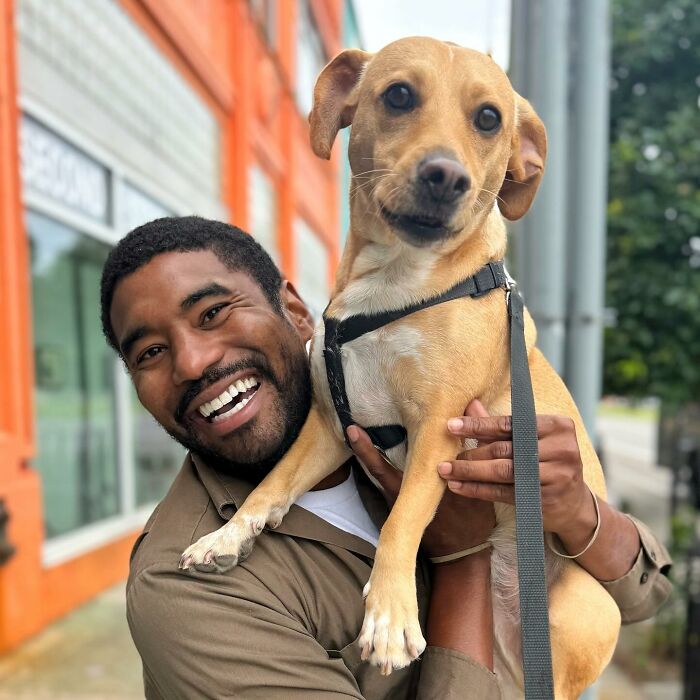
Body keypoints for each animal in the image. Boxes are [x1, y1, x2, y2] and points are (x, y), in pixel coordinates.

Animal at [183, 39, 620, 700]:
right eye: (398, 96)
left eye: (488, 118)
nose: (446, 176)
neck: (391, 287)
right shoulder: (330, 428)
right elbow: (269, 487)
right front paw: (223, 537)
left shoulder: (439, 429)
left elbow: (403, 519)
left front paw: (388, 616)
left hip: (574, 618)